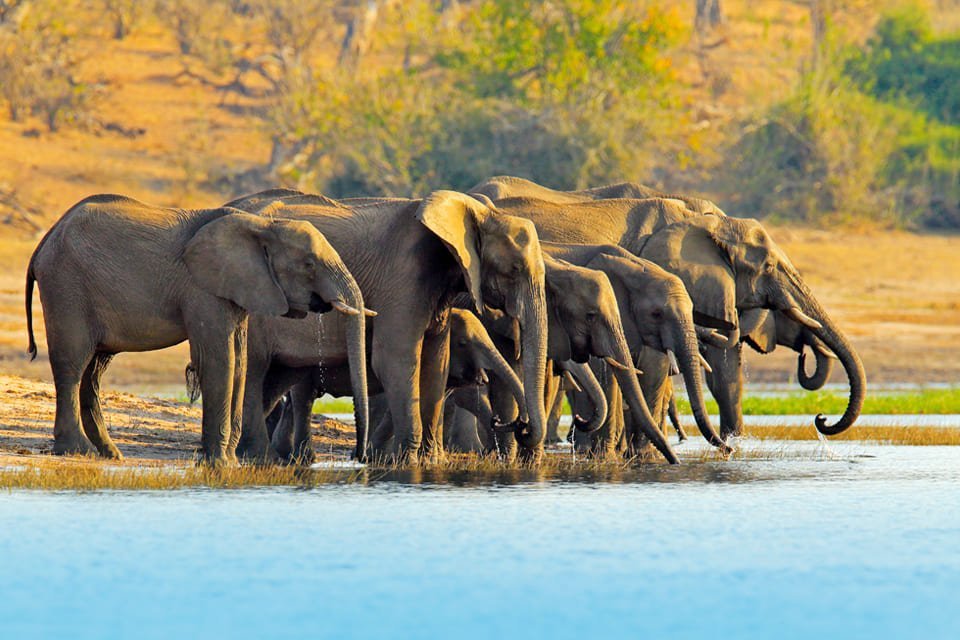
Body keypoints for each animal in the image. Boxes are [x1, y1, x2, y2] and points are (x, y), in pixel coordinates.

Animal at [25, 192, 372, 462]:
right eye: (309, 264)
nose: (358, 457)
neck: (261, 227)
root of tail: (44, 241)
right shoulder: (203, 289)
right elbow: (220, 361)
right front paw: (218, 462)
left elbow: (239, 362)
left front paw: (227, 461)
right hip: (66, 287)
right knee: (72, 363)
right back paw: (77, 451)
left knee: (94, 371)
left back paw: (111, 454)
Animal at [219, 188, 548, 462]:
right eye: (514, 269)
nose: (518, 425)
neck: (477, 211)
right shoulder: (403, 279)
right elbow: (397, 359)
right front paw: (407, 461)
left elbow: (435, 362)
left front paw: (431, 461)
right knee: (256, 373)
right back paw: (261, 458)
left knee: (274, 383)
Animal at [476, 192, 868, 438]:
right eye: (769, 267)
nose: (821, 419)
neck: (707, 223)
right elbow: (654, 365)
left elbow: (725, 370)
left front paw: (735, 445)